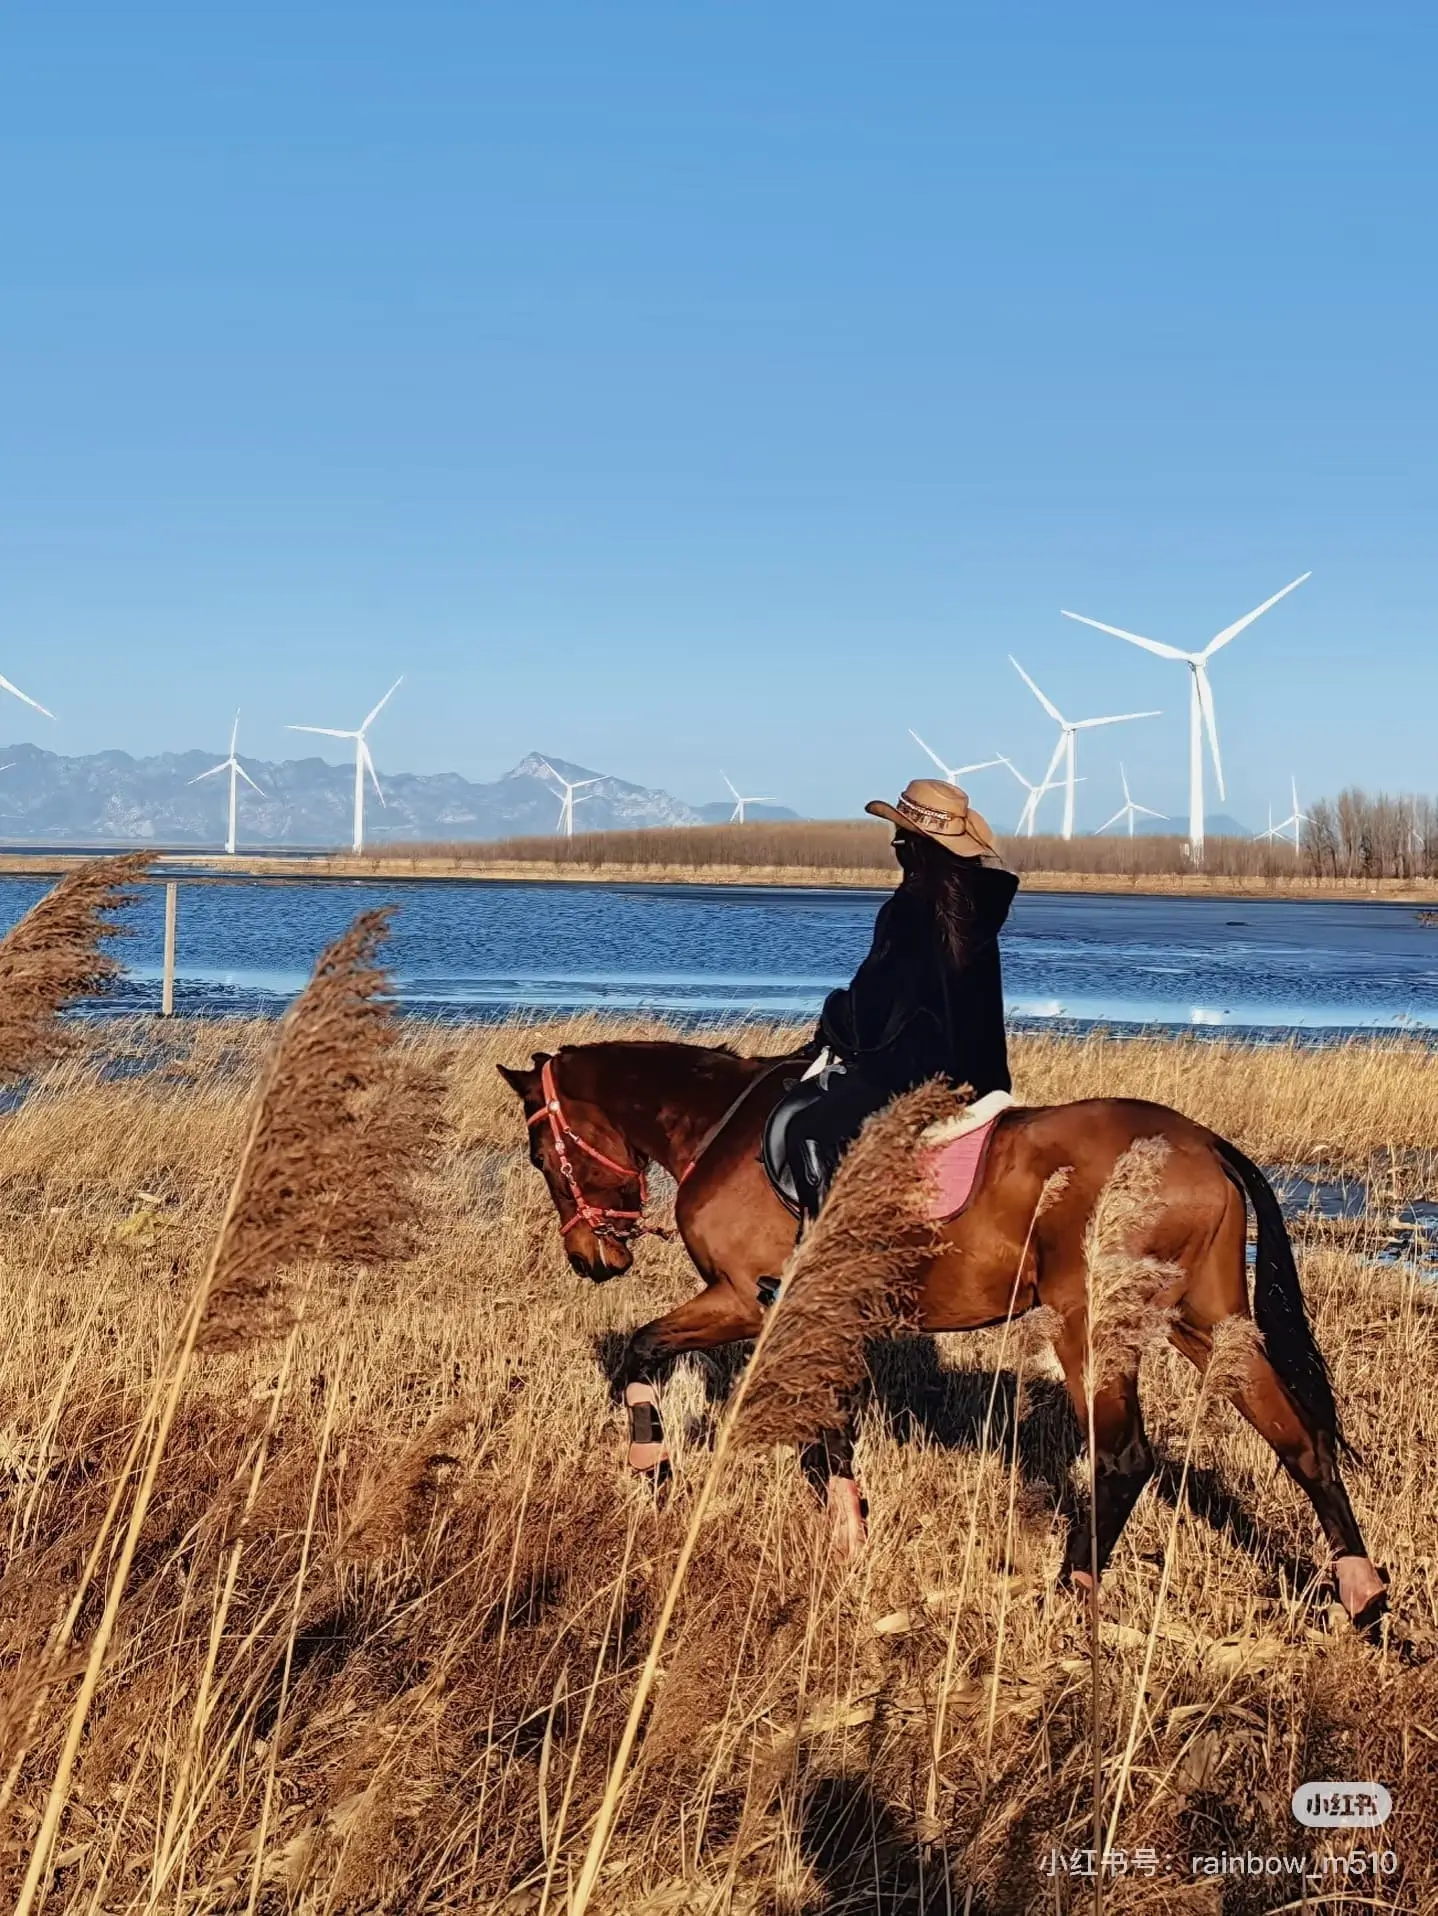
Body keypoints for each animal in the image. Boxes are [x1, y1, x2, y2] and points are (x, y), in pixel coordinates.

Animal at [497, 1038, 1388, 1631]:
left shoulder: (749, 1299)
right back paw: (1363, 1595)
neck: (727, 1129)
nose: (591, 1261)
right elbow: (830, 1432)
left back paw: (1072, 1589)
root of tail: (1203, 1143)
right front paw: (849, 1533)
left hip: (1090, 1326)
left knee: (1127, 1456)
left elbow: (645, 1349)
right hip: (1206, 1324)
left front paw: (652, 1467)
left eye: (540, 1151)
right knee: (1300, 1441)